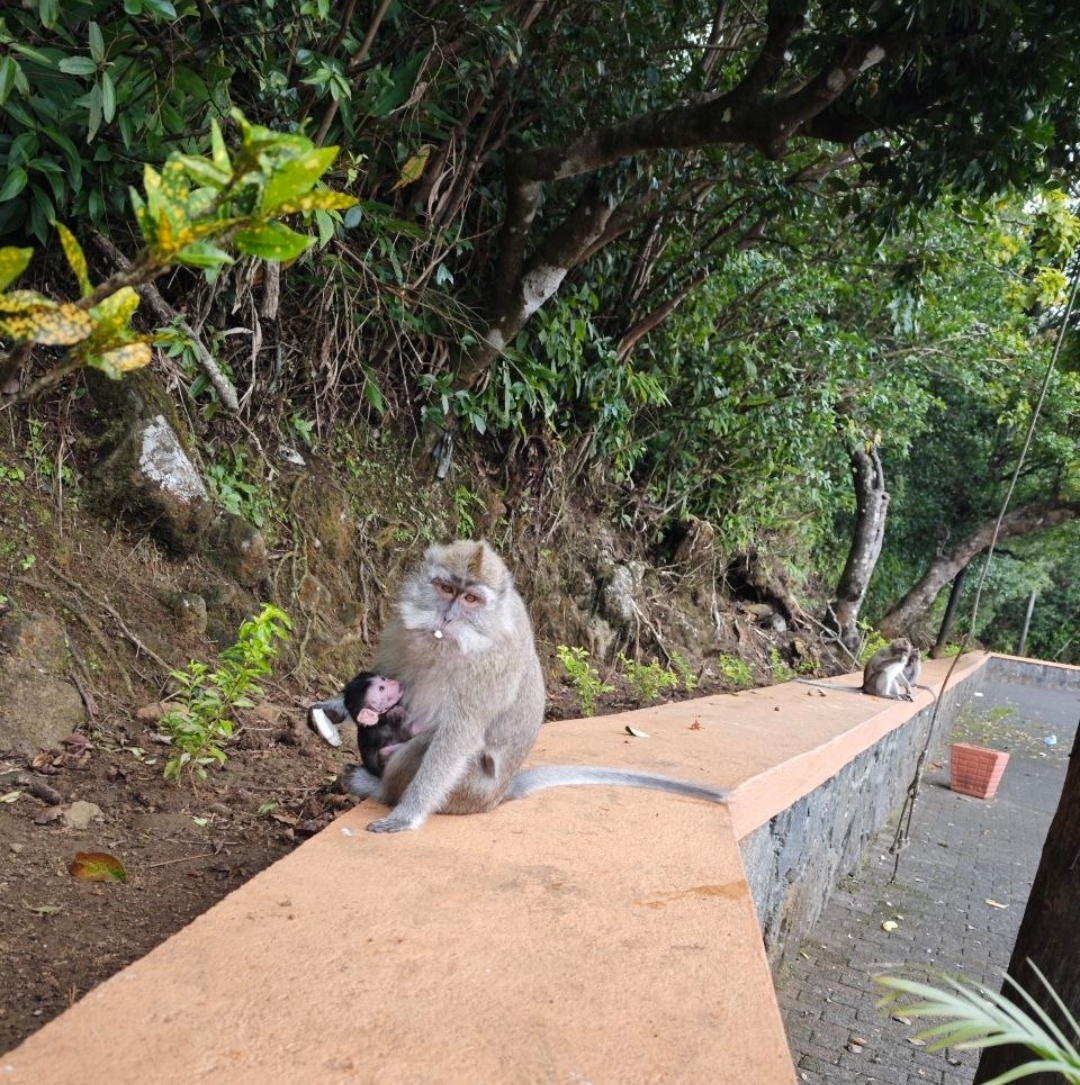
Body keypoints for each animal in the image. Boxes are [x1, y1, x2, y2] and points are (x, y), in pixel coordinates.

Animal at [339, 539, 729, 833]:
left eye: (470, 599)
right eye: (446, 589)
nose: (446, 618)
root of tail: (499, 794)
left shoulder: (492, 664)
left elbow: (458, 735)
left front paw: (407, 815)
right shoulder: (398, 628)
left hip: (467, 791)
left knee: (428, 745)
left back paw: (381, 790)